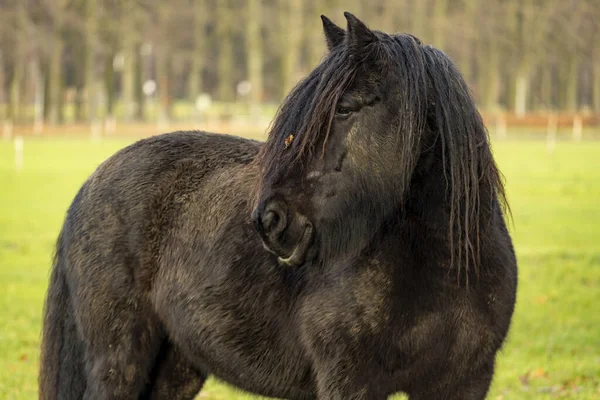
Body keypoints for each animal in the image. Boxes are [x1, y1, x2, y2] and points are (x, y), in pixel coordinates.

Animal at [38, 12, 516, 400]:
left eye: (345, 108)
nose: (269, 221)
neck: (442, 265)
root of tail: (90, 184)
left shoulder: (465, 382)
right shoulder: (350, 381)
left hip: (175, 367)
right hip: (119, 360)